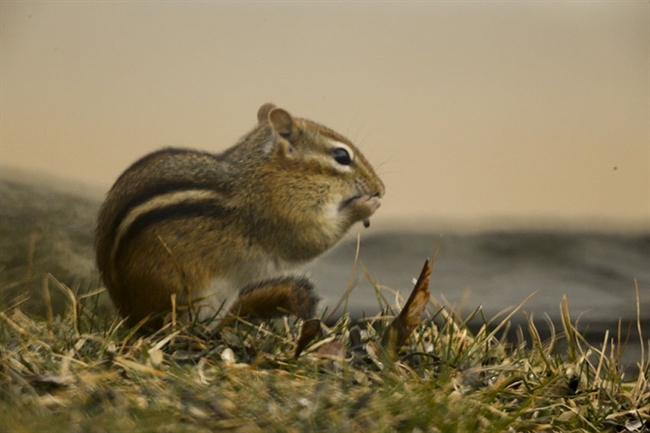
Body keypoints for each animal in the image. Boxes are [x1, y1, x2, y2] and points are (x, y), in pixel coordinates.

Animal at [95, 103, 385, 329]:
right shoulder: (287, 216)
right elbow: (312, 240)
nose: (381, 188)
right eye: (341, 156)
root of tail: (129, 315)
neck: (270, 173)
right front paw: (365, 205)